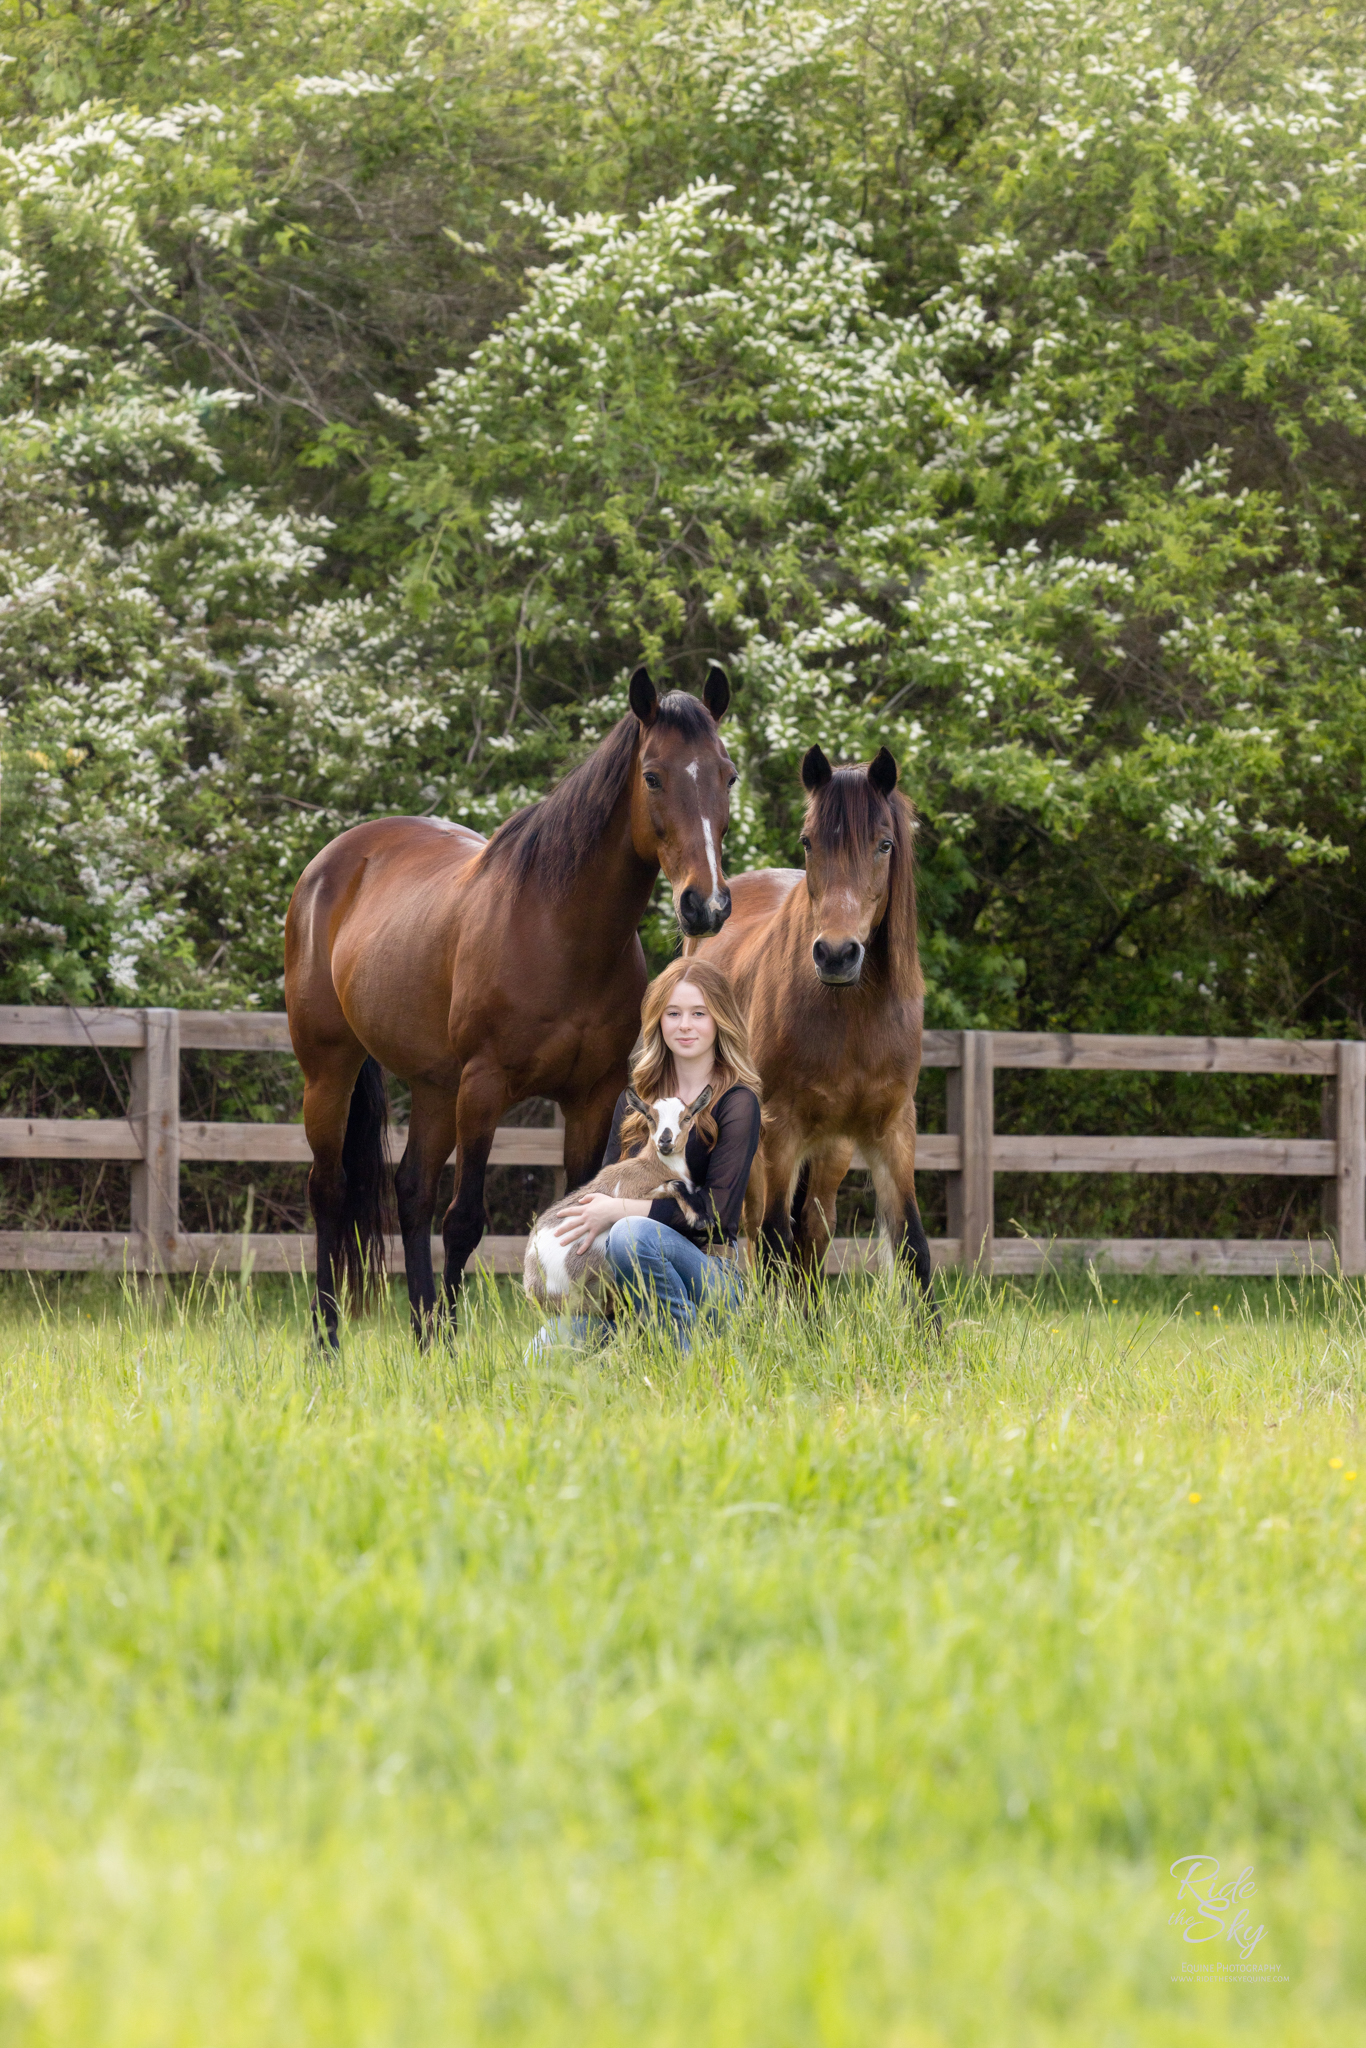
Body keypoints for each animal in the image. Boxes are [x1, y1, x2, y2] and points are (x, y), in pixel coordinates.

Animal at [286, 667, 737, 1343]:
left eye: (726, 775)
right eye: (654, 775)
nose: (705, 905)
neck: (559, 931)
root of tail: (331, 862)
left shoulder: (589, 1099)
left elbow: (581, 1201)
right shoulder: (484, 1088)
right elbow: (465, 1220)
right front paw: (457, 1349)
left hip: (434, 1087)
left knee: (412, 1190)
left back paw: (423, 1335)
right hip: (331, 1071)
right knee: (330, 1191)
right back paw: (328, 1342)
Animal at [700, 741, 933, 1310]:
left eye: (884, 845)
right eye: (809, 842)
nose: (835, 954)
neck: (851, 1018)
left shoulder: (892, 1130)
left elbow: (911, 1243)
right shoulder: (779, 1132)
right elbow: (772, 1240)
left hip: (832, 1151)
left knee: (812, 1229)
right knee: (753, 1230)